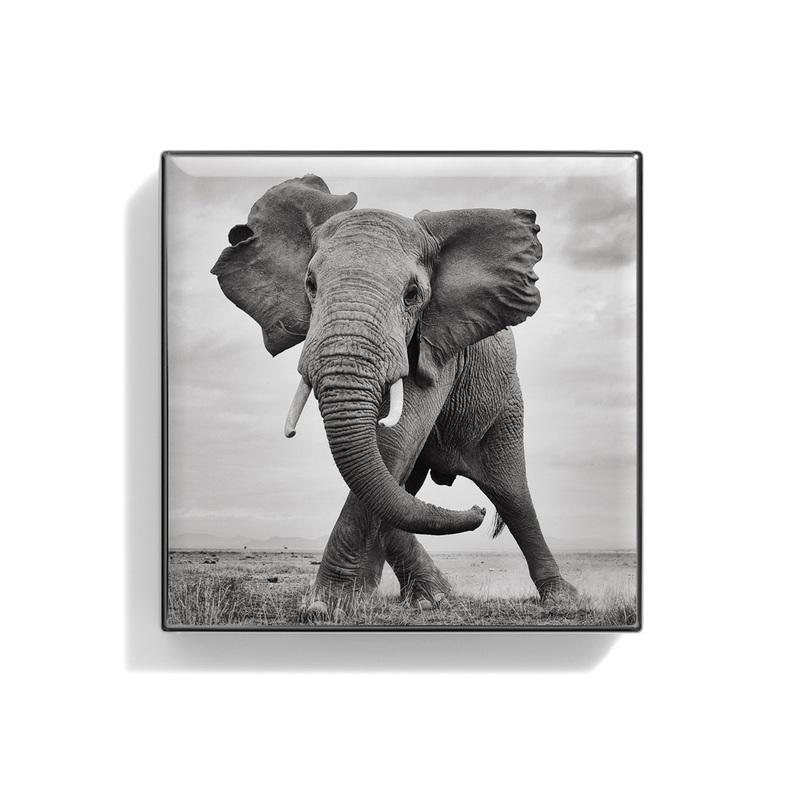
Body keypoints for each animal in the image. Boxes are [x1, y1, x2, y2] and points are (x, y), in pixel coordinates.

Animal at [211, 173, 577, 617]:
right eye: (310, 286)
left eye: (412, 294)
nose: (475, 512)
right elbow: (387, 469)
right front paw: (356, 601)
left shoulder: (436, 343)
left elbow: (393, 442)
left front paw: (327, 606)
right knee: (407, 489)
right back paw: (421, 595)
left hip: (505, 403)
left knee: (511, 493)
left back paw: (562, 600)